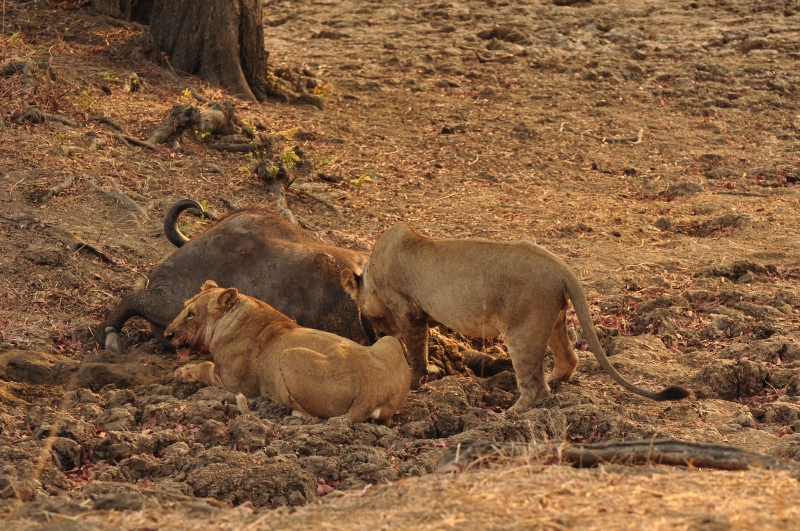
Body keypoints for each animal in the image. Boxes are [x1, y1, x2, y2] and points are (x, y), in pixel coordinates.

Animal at [164, 280, 410, 425]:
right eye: (184, 307)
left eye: (191, 314)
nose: (167, 334)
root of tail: (369, 388)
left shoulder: (235, 384)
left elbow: (205, 367)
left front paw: (182, 372)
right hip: (389, 341)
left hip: (288, 354)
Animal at [341, 224, 689, 412]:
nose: (374, 336)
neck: (372, 271)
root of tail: (562, 267)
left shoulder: (409, 310)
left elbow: (415, 350)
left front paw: (416, 379)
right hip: (554, 320)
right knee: (568, 360)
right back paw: (555, 380)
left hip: (522, 330)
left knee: (536, 386)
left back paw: (510, 412)